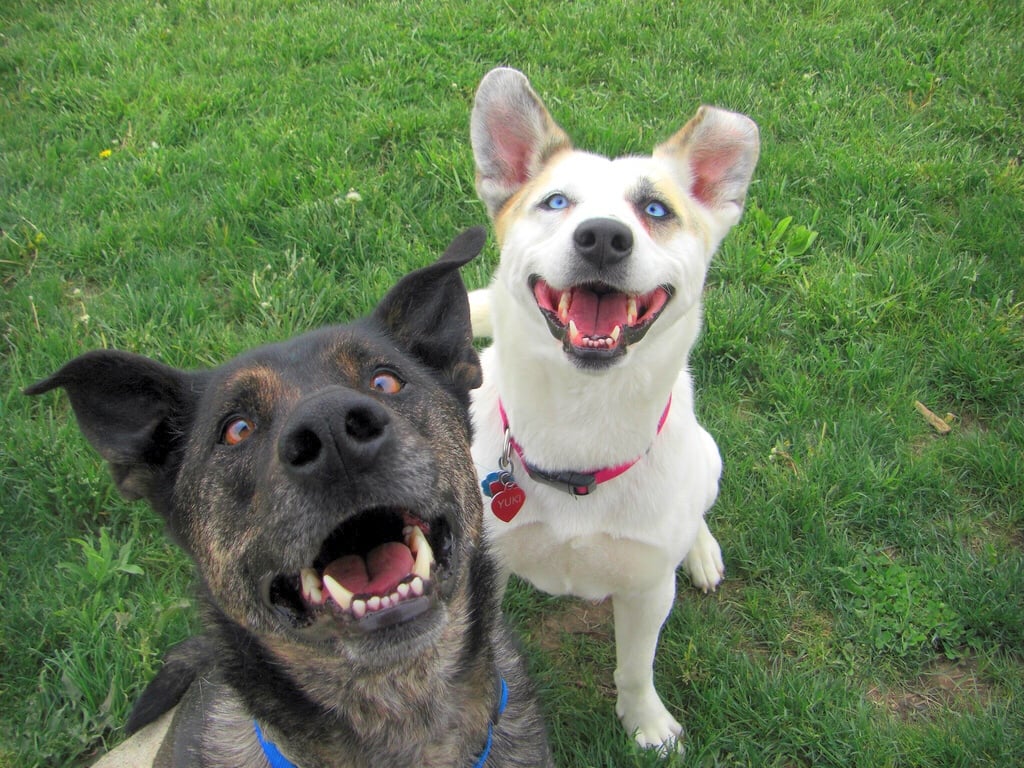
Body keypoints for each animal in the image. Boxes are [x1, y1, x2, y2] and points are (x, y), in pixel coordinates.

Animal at [468, 66, 757, 753]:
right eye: (555, 202)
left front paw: (647, 723)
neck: (581, 425)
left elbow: (635, 666)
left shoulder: (648, 587)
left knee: (698, 511)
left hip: (709, 456)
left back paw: (701, 552)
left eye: (655, 211)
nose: (603, 236)